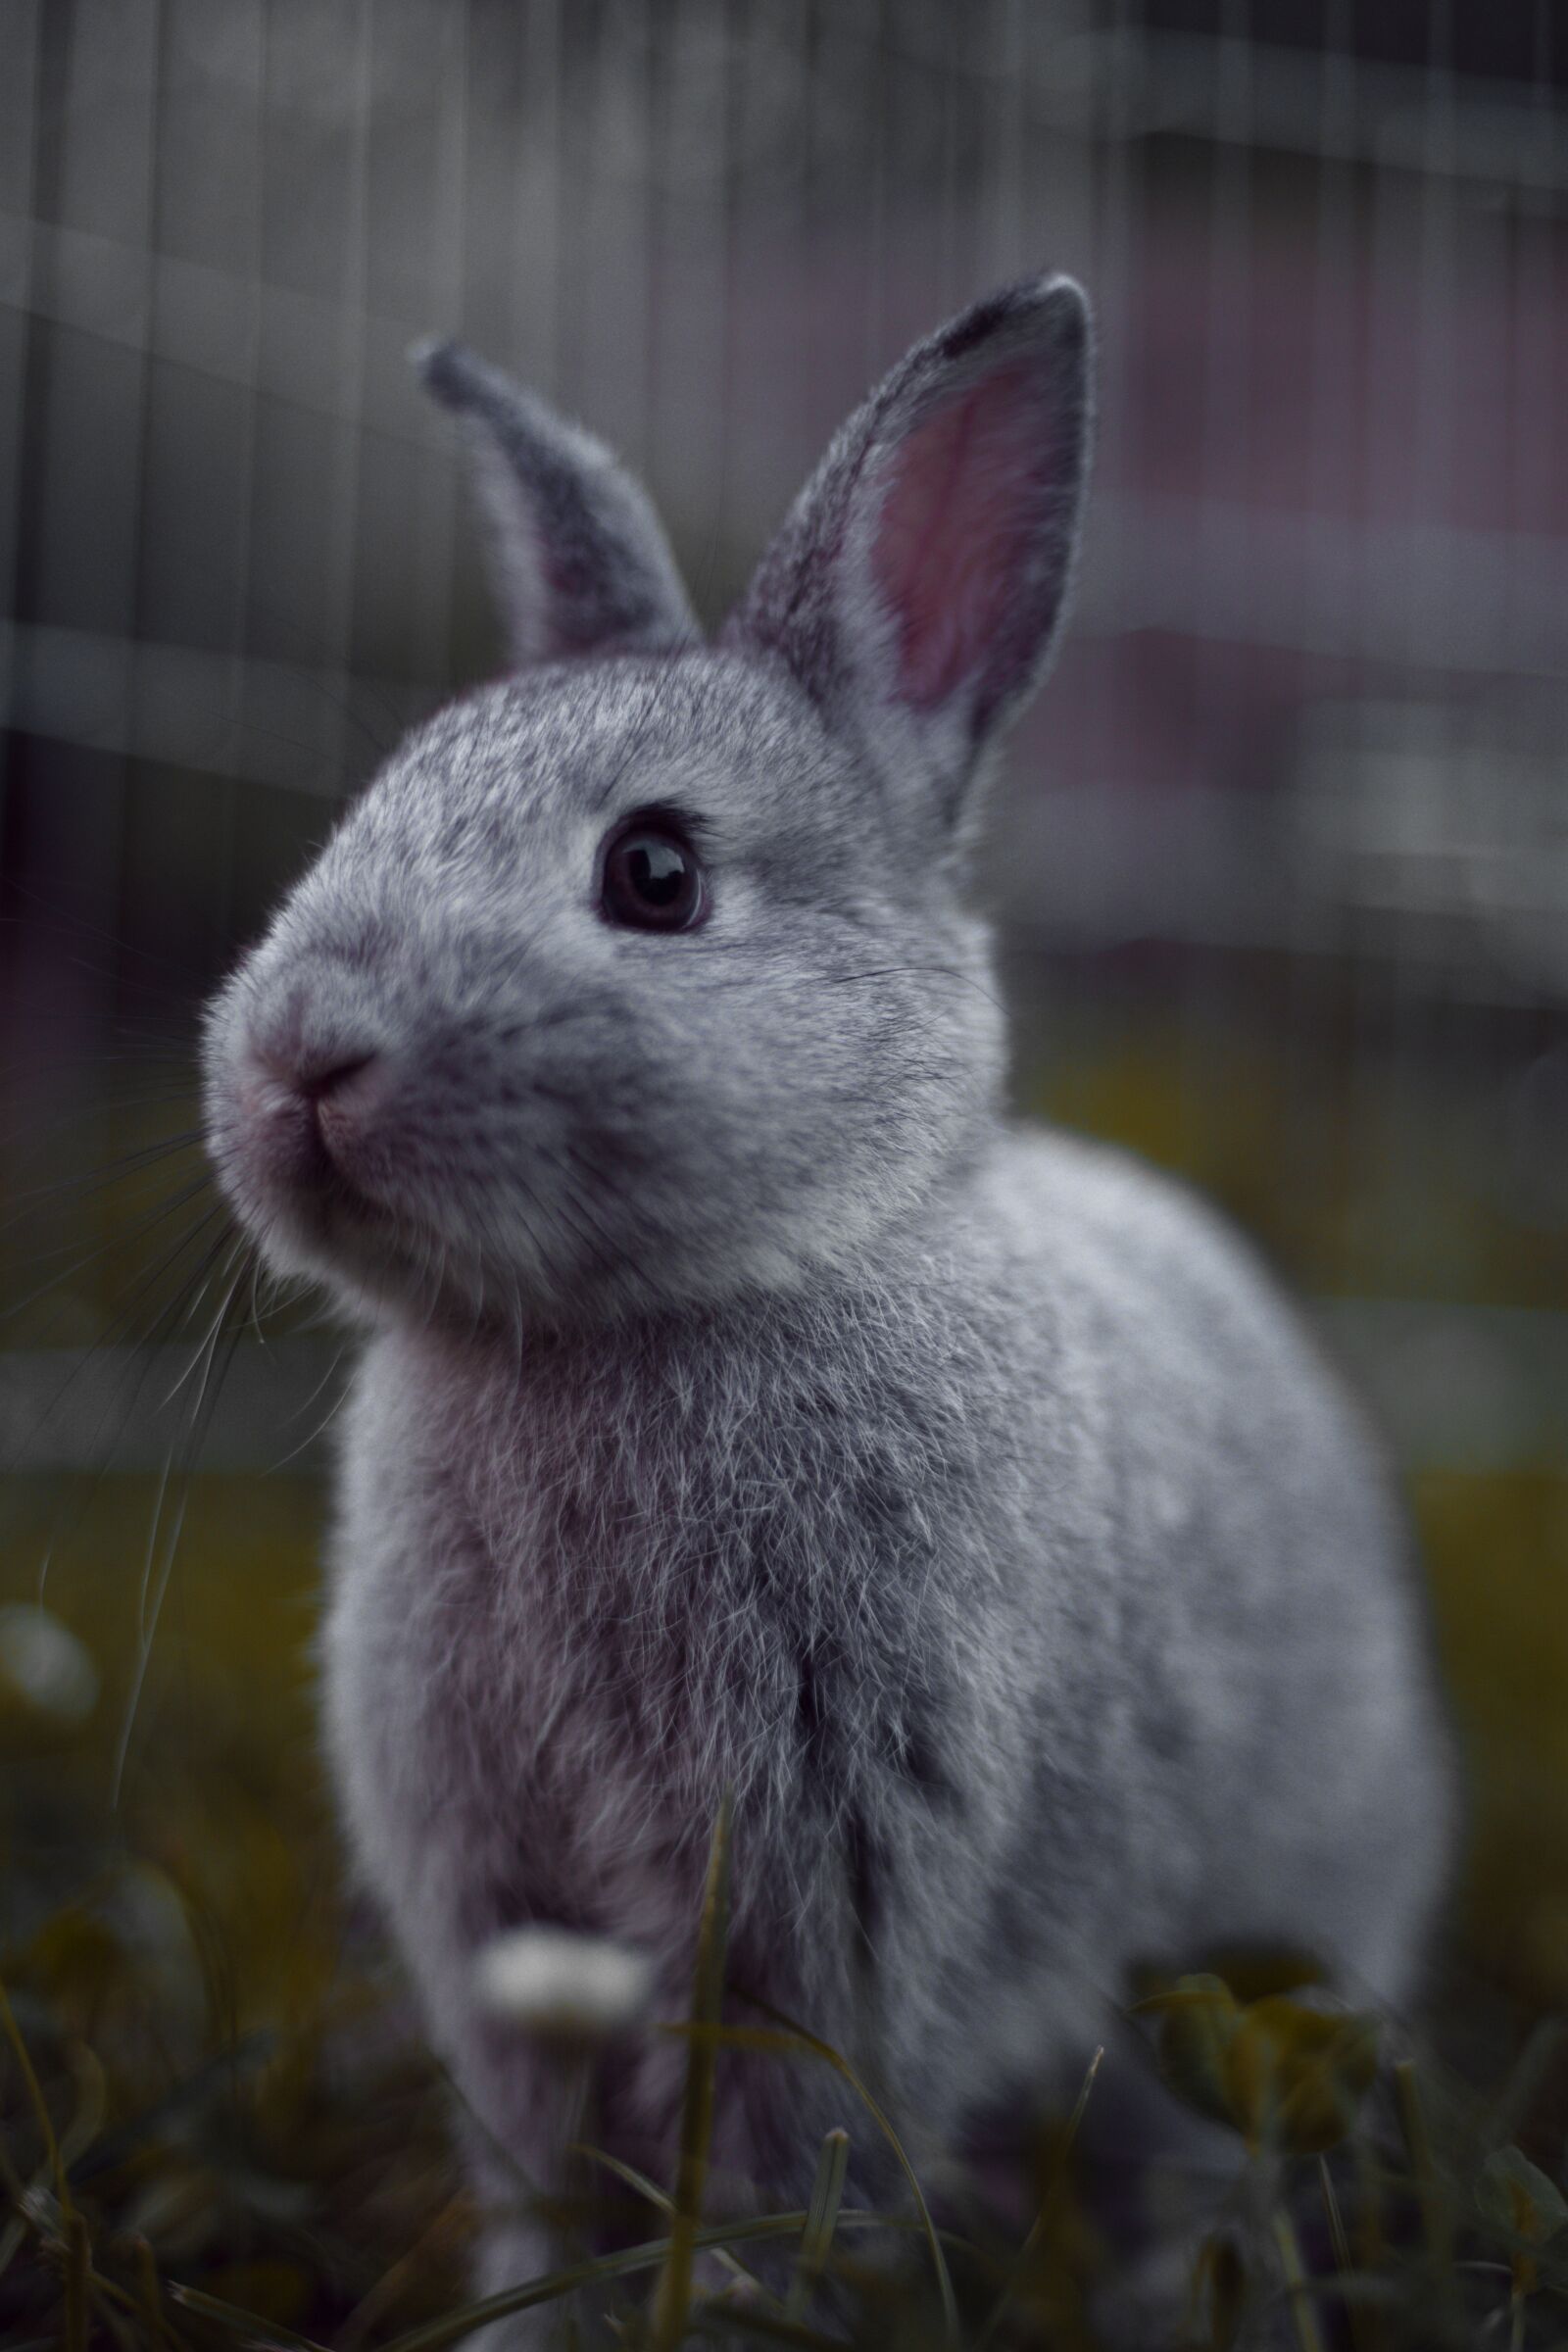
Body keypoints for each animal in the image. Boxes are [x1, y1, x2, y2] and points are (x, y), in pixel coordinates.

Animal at [202, 273, 1458, 2334]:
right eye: (377, 803)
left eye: (656, 873)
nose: (304, 1056)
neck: (641, 1322)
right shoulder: (498, 1910)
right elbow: (539, 2158)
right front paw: (538, 2314)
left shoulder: (842, 1892)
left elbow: (787, 2157)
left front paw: (725, 2312)